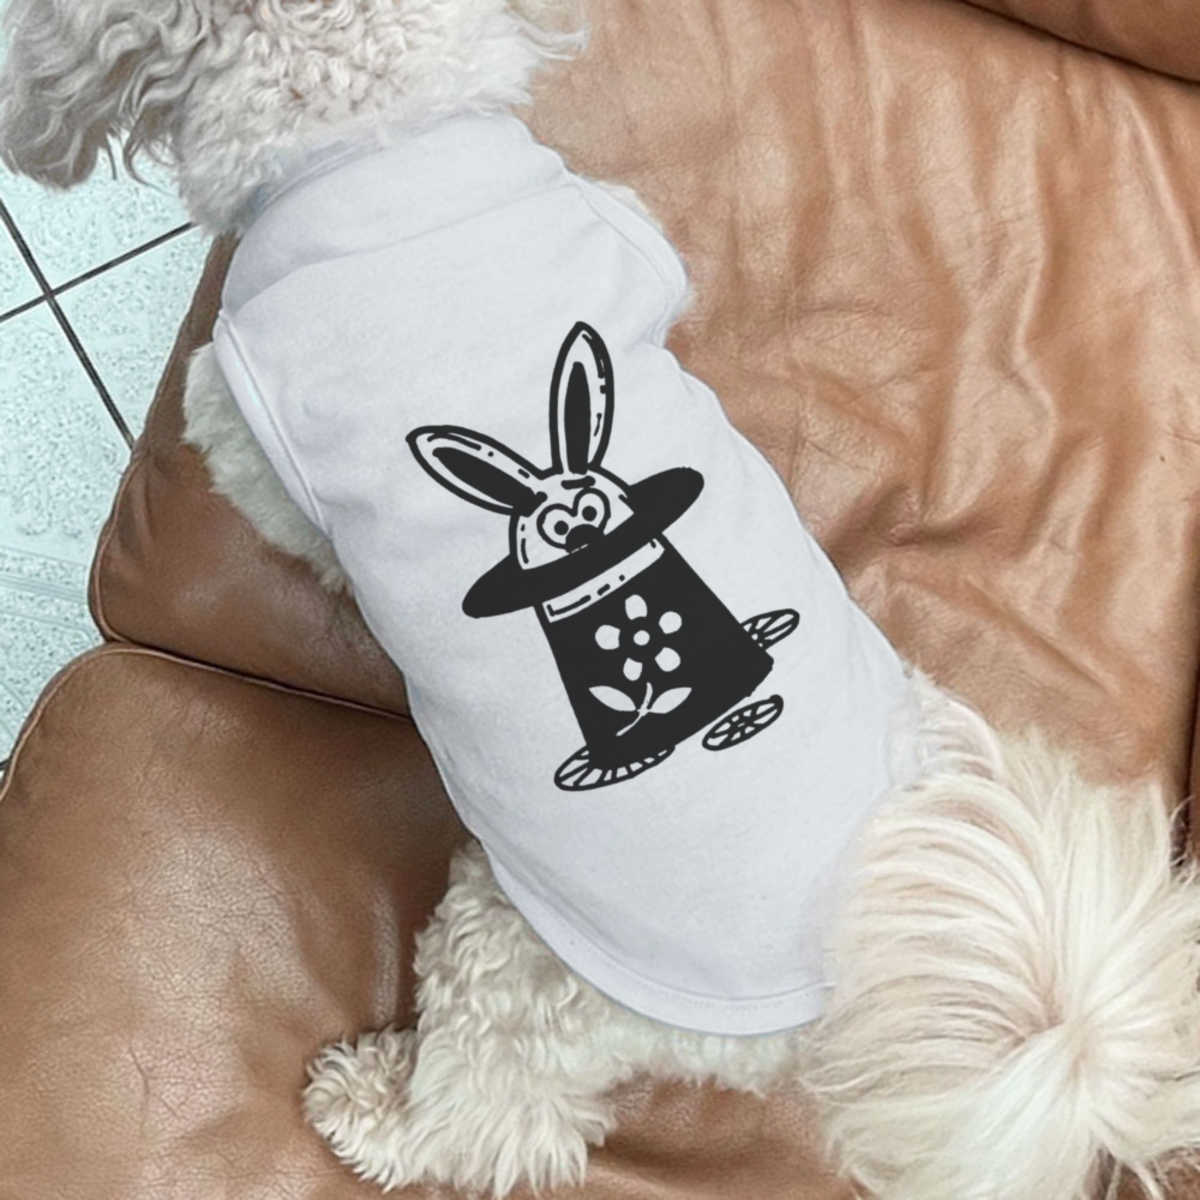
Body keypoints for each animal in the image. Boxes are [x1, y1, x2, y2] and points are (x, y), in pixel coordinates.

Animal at [6, 3, 1200, 1200]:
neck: (380, 127)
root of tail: (852, 987)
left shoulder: (237, 415)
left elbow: (282, 502)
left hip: (518, 954)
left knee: (497, 1121)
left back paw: (371, 1106)